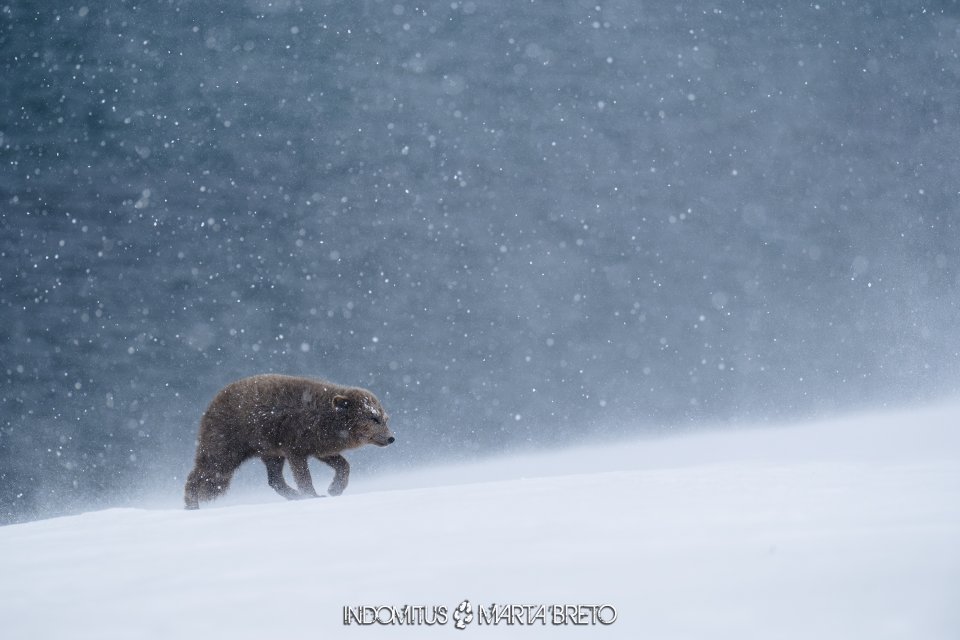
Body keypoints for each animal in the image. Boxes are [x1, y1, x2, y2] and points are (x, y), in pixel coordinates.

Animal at [184, 374, 394, 509]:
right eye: (373, 418)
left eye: (385, 418)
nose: (391, 438)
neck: (324, 420)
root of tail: (210, 405)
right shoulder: (295, 446)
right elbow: (303, 476)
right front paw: (312, 495)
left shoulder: (319, 446)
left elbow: (343, 465)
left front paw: (334, 488)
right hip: (227, 448)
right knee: (203, 472)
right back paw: (191, 504)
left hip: (270, 451)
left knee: (274, 479)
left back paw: (294, 496)